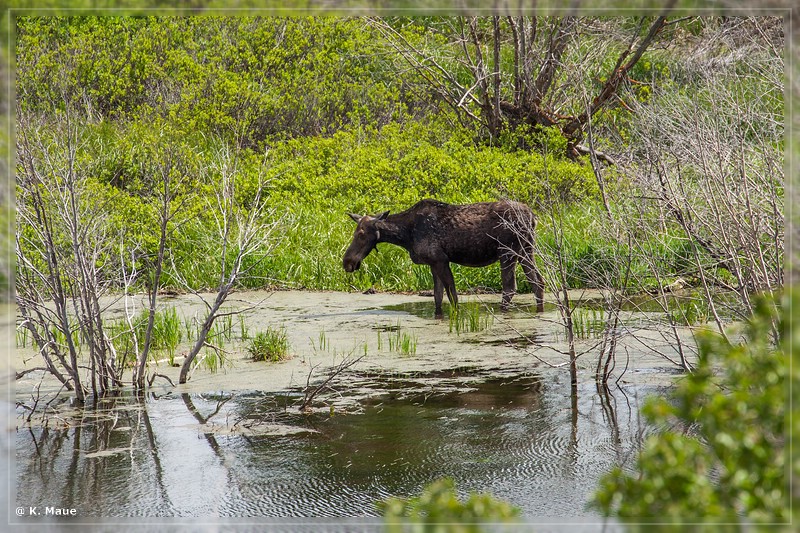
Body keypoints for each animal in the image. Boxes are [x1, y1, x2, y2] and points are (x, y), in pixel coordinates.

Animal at [340, 198, 548, 316]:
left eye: (361, 234)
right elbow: (438, 297)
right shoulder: (433, 263)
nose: (347, 262)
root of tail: (534, 217)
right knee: (538, 282)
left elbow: (452, 296)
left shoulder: (441, 260)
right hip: (526, 250)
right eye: (354, 232)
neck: (406, 236)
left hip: (508, 253)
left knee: (509, 288)